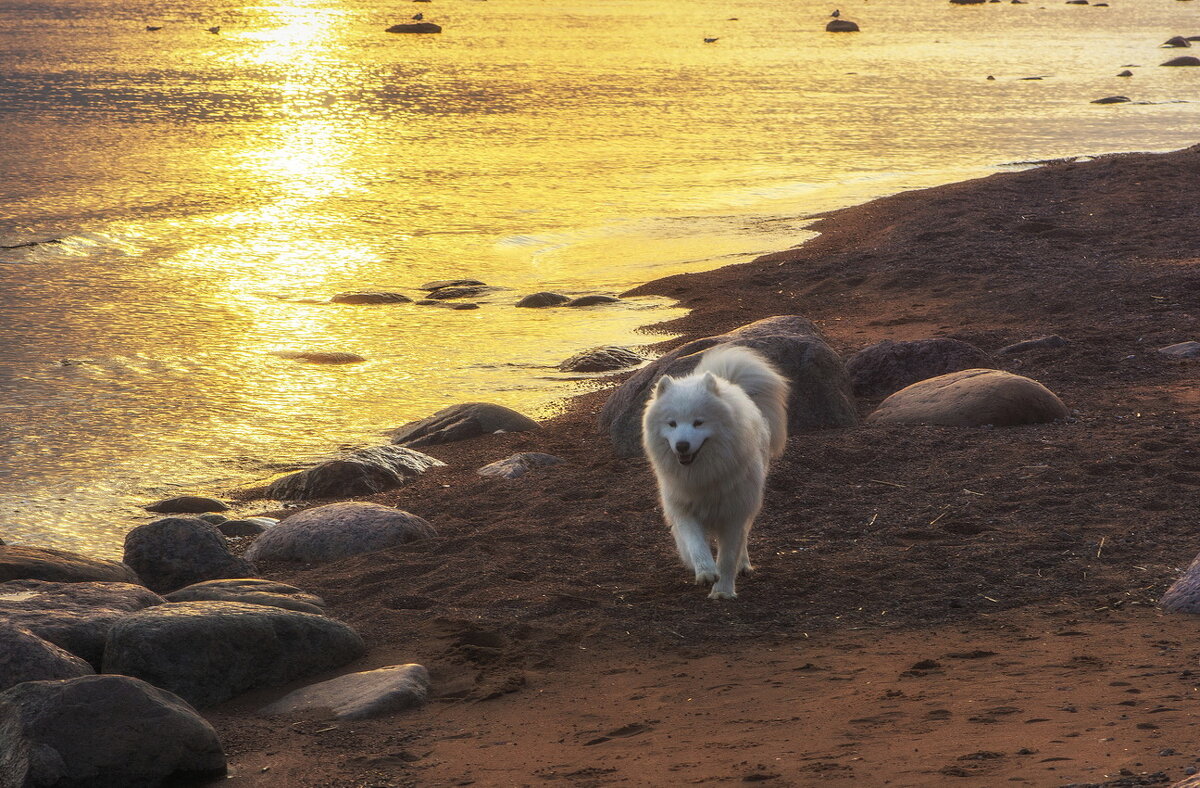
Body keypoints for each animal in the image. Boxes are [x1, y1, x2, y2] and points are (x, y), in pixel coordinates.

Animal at [643, 343, 792, 597]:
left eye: (698, 422)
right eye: (672, 423)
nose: (682, 445)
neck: (704, 475)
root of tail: (729, 383)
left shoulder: (733, 514)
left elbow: (728, 557)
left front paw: (722, 590)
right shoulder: (684, 510)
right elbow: (696, 544)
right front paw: (705, 571)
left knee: (744, 539)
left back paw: (744, 565)